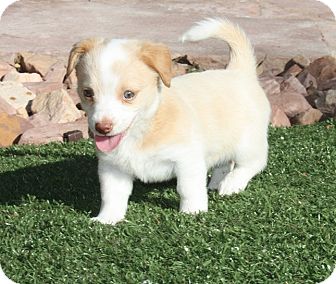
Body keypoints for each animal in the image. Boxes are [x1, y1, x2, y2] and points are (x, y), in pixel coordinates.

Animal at [65, 18, 270, 225]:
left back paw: (231, 184)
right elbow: (112, 196)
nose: (102, 128)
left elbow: (188, 189)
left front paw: (193, 212)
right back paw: (216, 182)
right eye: (87, 93)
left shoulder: (187, 160)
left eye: (128, 94)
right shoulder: (112, 168)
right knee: (225, 162)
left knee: (254, 163)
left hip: (248, 143)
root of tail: (239, 72)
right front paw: (107, 219)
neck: (142, 131)